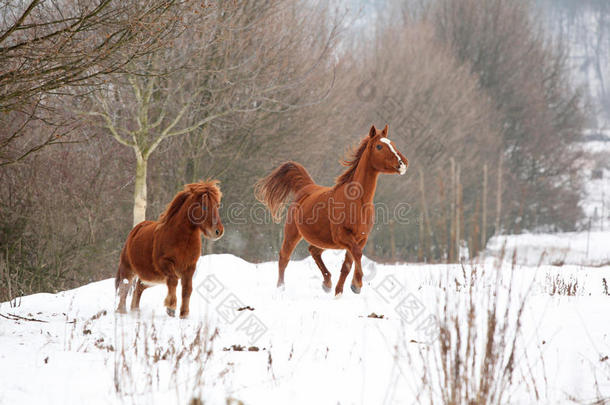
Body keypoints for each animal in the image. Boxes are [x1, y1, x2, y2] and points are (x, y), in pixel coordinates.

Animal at [114, 180, 223, 316]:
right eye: (204, 206)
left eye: (217, 205)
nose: (218, 231)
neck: (183, 241)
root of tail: (136, 229)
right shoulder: (165, 263)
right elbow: (173, 281)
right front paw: (171, 307)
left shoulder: (190, 267)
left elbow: (187, 289)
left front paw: (184, 314)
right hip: (128, 269)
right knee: (124, 288)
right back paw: (121, 311)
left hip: (152, 278)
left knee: (138, 287)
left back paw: (135, 311)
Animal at [254, 124, 406, 296]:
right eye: (379, 146)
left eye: (392, 143)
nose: (402, 164)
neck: (357, 202)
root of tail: (307, 187)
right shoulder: (343, 236)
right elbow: (357, 255)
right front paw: (357, 284)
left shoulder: (361, 238)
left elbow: (347, 264)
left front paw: (340, 292)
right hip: (292, 233)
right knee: (284, 258)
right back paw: (281, 288)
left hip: (323, 240)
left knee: (313, 251)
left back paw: (327, 283)